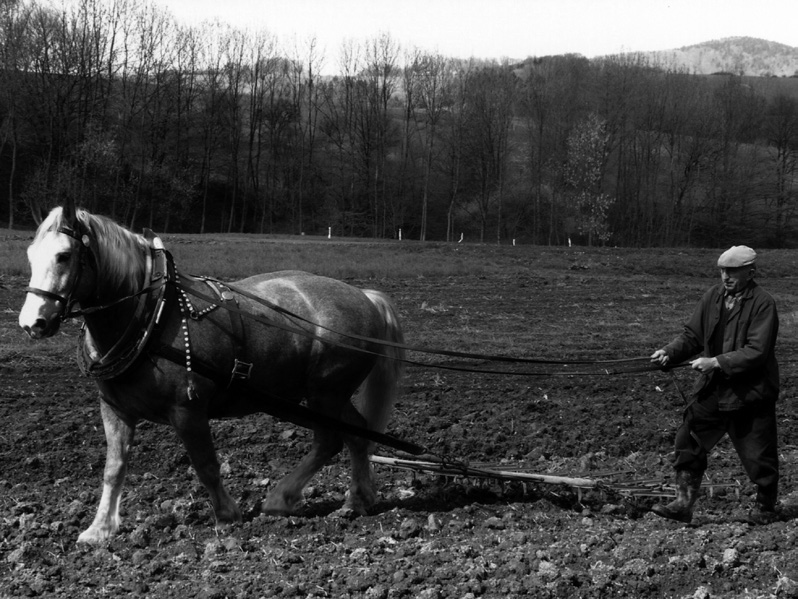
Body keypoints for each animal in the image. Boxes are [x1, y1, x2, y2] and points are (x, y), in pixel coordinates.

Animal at [20, 204, 406, 548]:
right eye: (30, 255)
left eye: (64, 256)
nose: (31, 323)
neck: (151, 315)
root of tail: (365, 296)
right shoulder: (114, 409)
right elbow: (114, 468)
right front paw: (99, 529)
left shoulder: (188, 409)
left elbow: (205, 464)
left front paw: (226, 515)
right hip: (317, 396)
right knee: (355, 435)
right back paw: (355, 499)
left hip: (326, 392)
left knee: (332, 439)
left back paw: (285, 498)